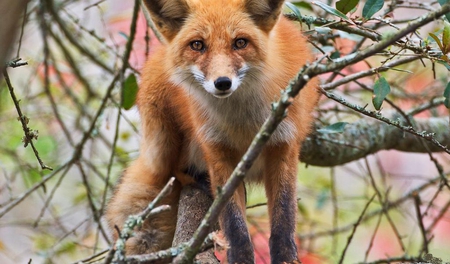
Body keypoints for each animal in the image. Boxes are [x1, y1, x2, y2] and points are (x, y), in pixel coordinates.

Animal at [105, 0, 318, 260]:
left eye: (240, 43)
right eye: (198, 45)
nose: (223, 82)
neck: (245, 124)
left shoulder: (283, 145)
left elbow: (284, 215)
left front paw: (285, 256)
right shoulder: (217, 149)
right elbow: (234, 223)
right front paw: (241, 258)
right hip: (163, 143)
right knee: (174, 171)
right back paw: (198, 180)